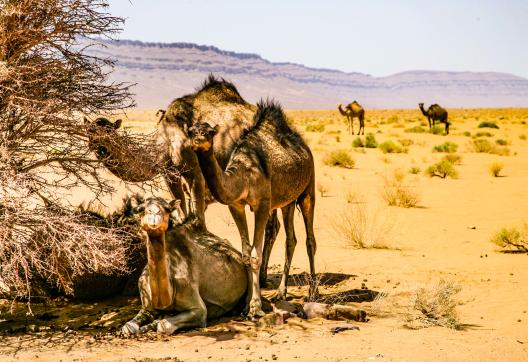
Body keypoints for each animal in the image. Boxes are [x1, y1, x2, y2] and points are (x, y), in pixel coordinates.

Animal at [122, 197, 249, 336]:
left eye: (168, 209)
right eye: (141, 209)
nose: (154, 214)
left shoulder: (198, 308)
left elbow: (164, 325)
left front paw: (156, 323)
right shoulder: (147, 306)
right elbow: (128, 327)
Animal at [188, 100, 316, 318]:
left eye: (209, 132)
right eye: (191, 131)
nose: (197, 140)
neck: (244, 175)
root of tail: (305, 147)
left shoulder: (262, 205)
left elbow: (256, 255)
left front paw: (255, 307)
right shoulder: (236, 206)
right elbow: (246, 254)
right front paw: (247, 305)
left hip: (309, 189)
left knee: (310, 239)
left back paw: (313, 292)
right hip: (287, 201)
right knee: (291, 239)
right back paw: (281, 292)